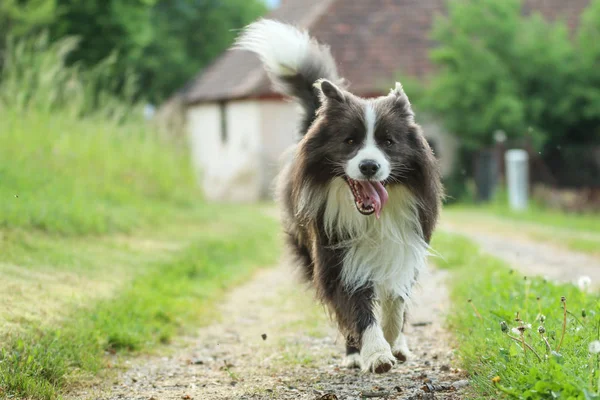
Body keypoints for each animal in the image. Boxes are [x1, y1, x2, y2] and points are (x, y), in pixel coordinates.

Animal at [234, 19, 440, 376]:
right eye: (350, 141)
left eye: (388, 141)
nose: (369, 166)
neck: (372, 217)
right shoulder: (336, 253)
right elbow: (355, 304)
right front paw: (376, 353)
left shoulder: (405, 243)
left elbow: (397, 298)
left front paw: (393, 339)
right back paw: (355, 353)